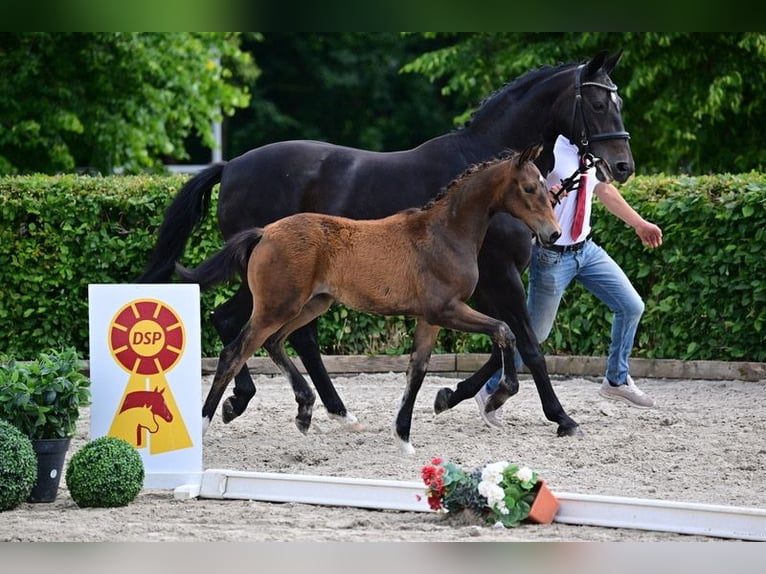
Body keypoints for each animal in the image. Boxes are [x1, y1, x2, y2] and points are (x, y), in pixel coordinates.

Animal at [176, 145, 560, 454]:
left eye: (548, 187)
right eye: (529, 187)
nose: (553, 233)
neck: (445, 233)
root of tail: (264, 233)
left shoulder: (429, 319)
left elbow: (417, 371)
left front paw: (404, 437)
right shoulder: (447, 309)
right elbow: (505, 331)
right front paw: (500, 395)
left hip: (311, 304)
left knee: (275, 342)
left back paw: (306, 412)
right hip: (276, 307)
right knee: (235, 351)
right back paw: (209, 422)